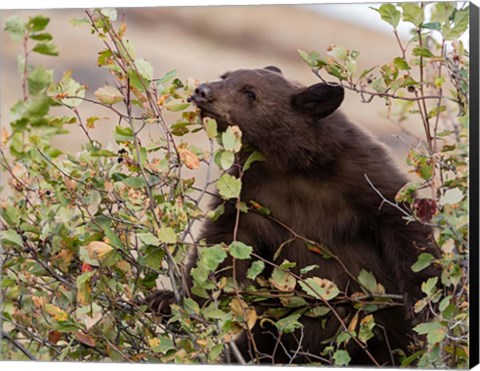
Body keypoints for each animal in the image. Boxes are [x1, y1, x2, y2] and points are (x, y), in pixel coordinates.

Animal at [148, 66, 440, 366]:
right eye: (225, 76)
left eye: (250, 92)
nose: (202, 91)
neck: (289, 164)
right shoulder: (249, 192)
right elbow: (223, 243)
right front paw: (168, 300)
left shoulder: (360, 173)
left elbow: (400, 219)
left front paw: (424, 300)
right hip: (270, 336)